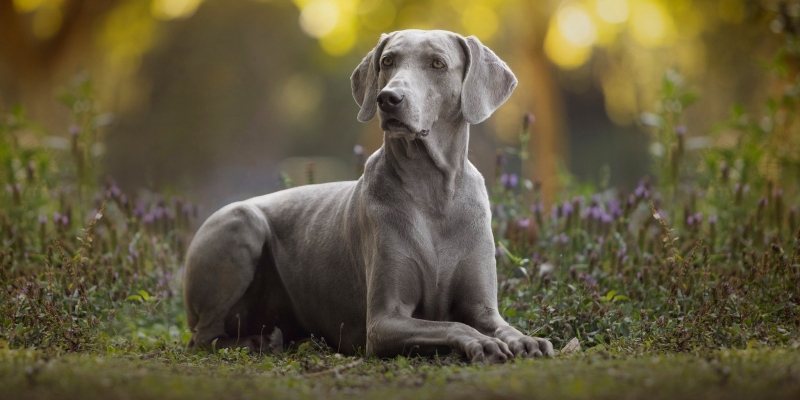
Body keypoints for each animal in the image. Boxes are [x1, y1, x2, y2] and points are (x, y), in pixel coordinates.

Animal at [184, 28, 552, 362]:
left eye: (437, 63)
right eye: (388, 61)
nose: (389, 98)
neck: (432, 191)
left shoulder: (482, 308)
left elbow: (502, 326)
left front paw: (527, 340)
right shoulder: (384, 321)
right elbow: (454, 326)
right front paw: (483, 343)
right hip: (242, 222)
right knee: (204, 335)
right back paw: (253, 342)